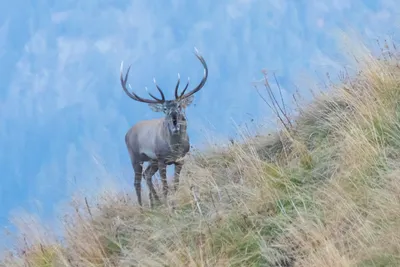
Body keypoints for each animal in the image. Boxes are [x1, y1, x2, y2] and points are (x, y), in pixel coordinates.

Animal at [119, 47, 209, 207]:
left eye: (179, 106)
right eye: (164, 109)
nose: (174, 119)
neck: (174, 148)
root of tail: (127, 133)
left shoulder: (180, 159)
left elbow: (176, 183)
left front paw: (173, 199)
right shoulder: (161, 158)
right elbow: (165, 186)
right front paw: (168, 203)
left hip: (152, 160)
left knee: (146, 174)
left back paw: (155, 201)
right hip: (135, 156)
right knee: (137, 181)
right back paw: (142, 207)